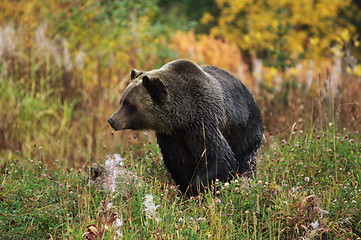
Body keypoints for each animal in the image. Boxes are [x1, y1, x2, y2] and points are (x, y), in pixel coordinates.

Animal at [107, 59, 262, 195]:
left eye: (128, 104)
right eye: (122, 101)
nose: (111, 120)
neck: (183, 118)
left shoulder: (203, 124)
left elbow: (218, 157)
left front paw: (193, 188)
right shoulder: (171, 136)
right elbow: (177, 163)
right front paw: (185, 190)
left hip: (245, 129)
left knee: (246, 161)